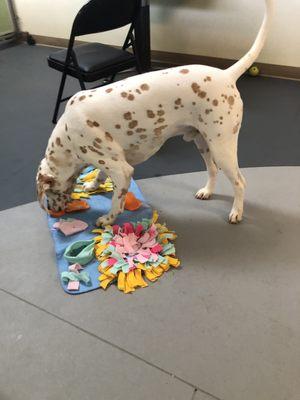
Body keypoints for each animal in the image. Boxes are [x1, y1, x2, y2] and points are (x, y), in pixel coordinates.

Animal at [36, 0, 274, 225]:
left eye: (48, 193)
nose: (54, 212)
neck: (67, 134)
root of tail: (226, 74)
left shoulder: (121, 170)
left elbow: (117, 200)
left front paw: (108, 219)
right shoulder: (110, 161)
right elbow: (101, 174)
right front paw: (93, 184)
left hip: (222, 147)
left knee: (240, 182)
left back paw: (236, 212)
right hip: (203, 143)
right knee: (213, 170)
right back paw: (207, 191)